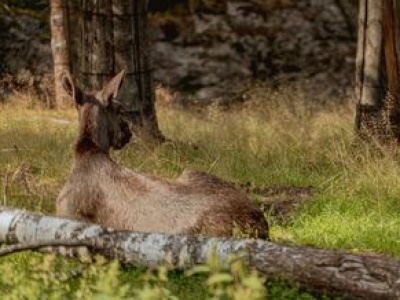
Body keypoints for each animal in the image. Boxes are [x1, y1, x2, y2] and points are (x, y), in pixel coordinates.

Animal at [56, 70, 268, 239]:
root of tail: (261, 226)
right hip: (193, 172)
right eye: (120, 110)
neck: (88, 149)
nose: (128, 132)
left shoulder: (65, 212)